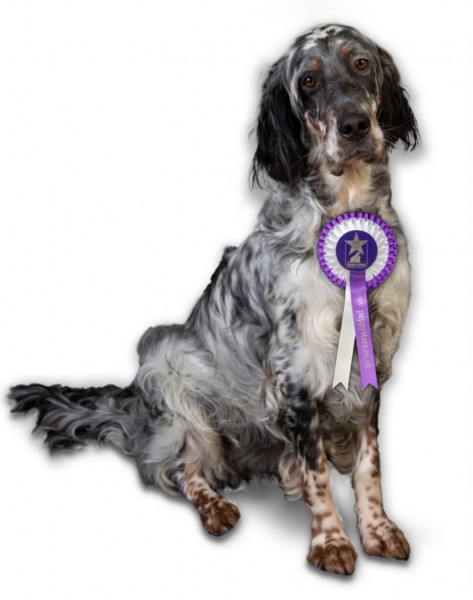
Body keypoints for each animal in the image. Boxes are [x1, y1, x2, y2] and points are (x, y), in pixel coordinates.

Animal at [10, 24, 416, 576]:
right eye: (308, 80)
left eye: (361, 64)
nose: (354, 124)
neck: (346, 215)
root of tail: (134, 411)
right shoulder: (296, 369)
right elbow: (315, 471)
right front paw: (331, 539)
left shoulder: (372, 355)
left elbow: (369, 463)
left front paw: (377, 529)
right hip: (166, 375)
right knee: (178, 469)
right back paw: (215, 506)